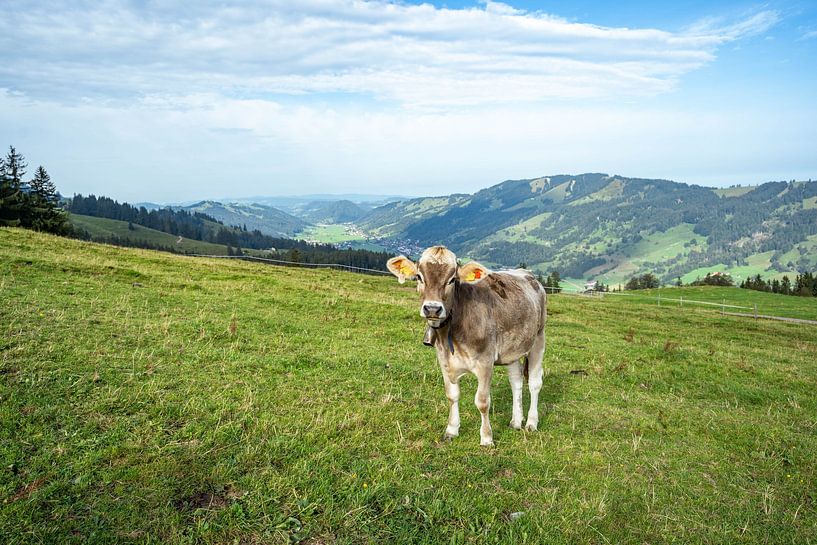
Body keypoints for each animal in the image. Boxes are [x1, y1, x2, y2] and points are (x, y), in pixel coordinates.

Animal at [387, 246, 547, 446]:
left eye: (452, 279)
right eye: (419, 277)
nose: (432, 309)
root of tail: (528, 275)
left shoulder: (486, 361)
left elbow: (482, 401)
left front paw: (486, 438)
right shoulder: (444, 360)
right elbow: (452, 395)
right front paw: (451, 429)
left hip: (538, 338)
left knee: (534, 383)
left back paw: (531, 422)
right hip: (512, 350)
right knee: (516, 382)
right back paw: (516, 421)